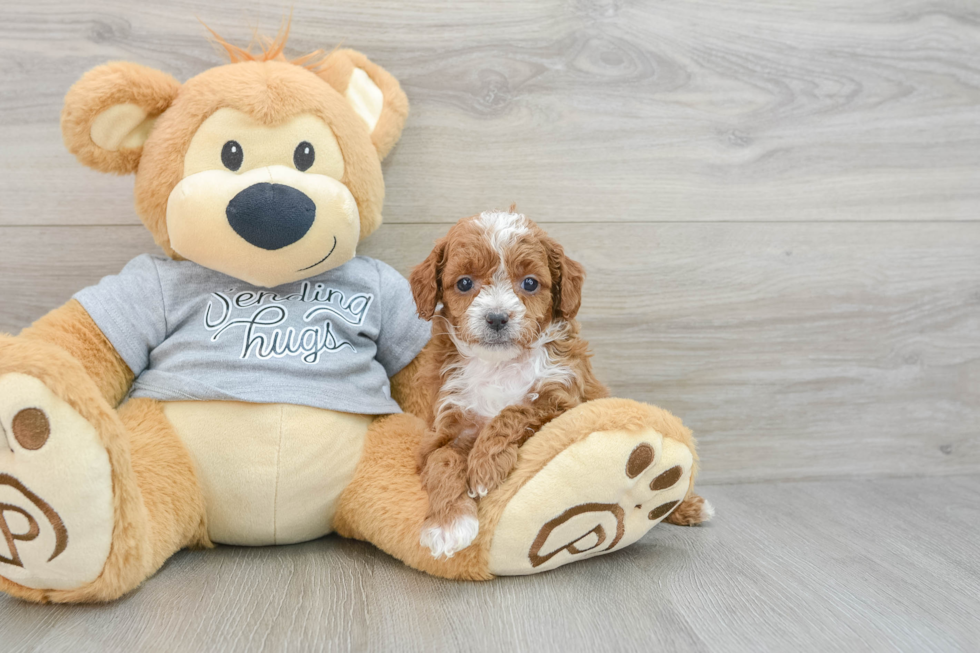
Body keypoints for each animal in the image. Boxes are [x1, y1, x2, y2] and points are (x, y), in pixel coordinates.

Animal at [410, 211, 608, 556]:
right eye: (464, 283)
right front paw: (448, 524)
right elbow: (442, 459)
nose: (497, 317)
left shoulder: (563, 400)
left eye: (530, 283)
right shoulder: (446, 424)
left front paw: (484, 467)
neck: (499, 364)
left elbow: (516, 410)